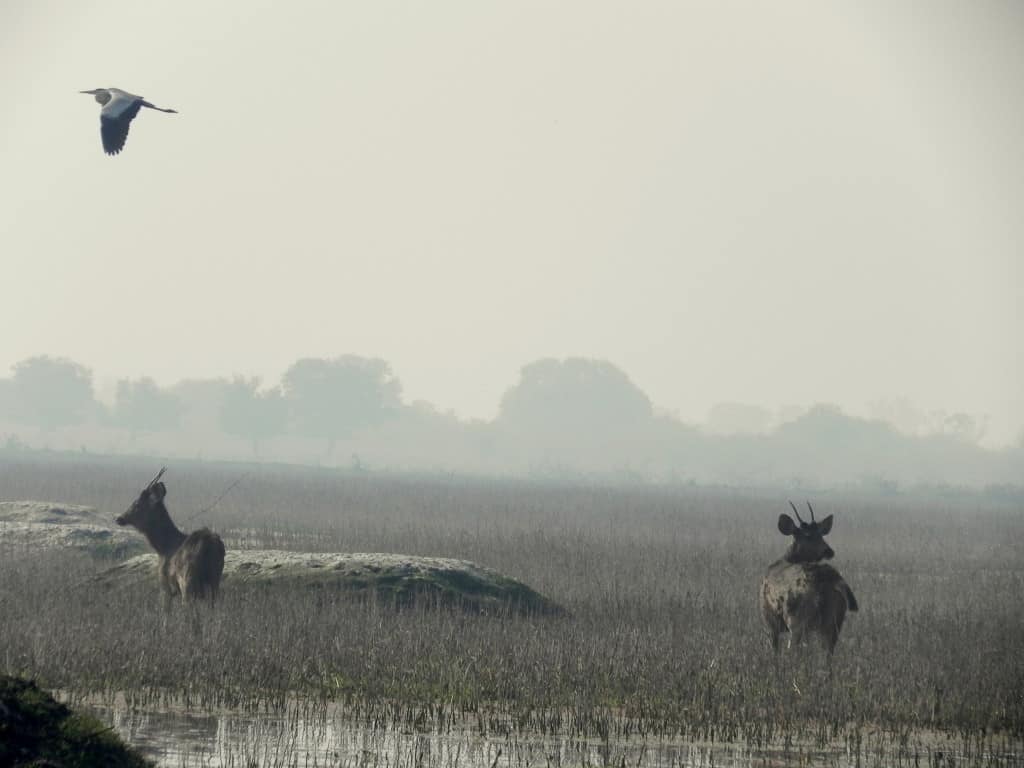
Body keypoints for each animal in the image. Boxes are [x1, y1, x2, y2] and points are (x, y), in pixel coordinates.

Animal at [117, 466, 227, 606]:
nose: (119, 518)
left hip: (187, 579)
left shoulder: (165, 584)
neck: (163, 548)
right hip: (215, 577)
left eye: (136, 504)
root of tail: (209, 544)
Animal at [761, 505, 856, 655]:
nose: (828, 551)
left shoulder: (769, 618)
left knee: (794, 648)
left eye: (821, 534)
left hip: (797, 619)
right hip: (835, 622)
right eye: (808, 535)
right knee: (828, 651)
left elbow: (774, 650)